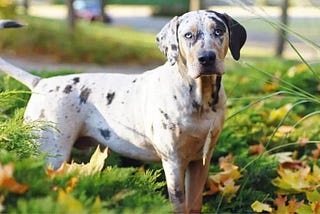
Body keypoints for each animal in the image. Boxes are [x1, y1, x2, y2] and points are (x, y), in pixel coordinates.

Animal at [0, 11, 248, 212]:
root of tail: (41, 82)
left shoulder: (200, 161)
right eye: (188, 35)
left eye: (218, 31)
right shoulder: (174, 162)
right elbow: (179, 205)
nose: (207, 58)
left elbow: (194, 203)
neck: (201, 99)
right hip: (50, 152)